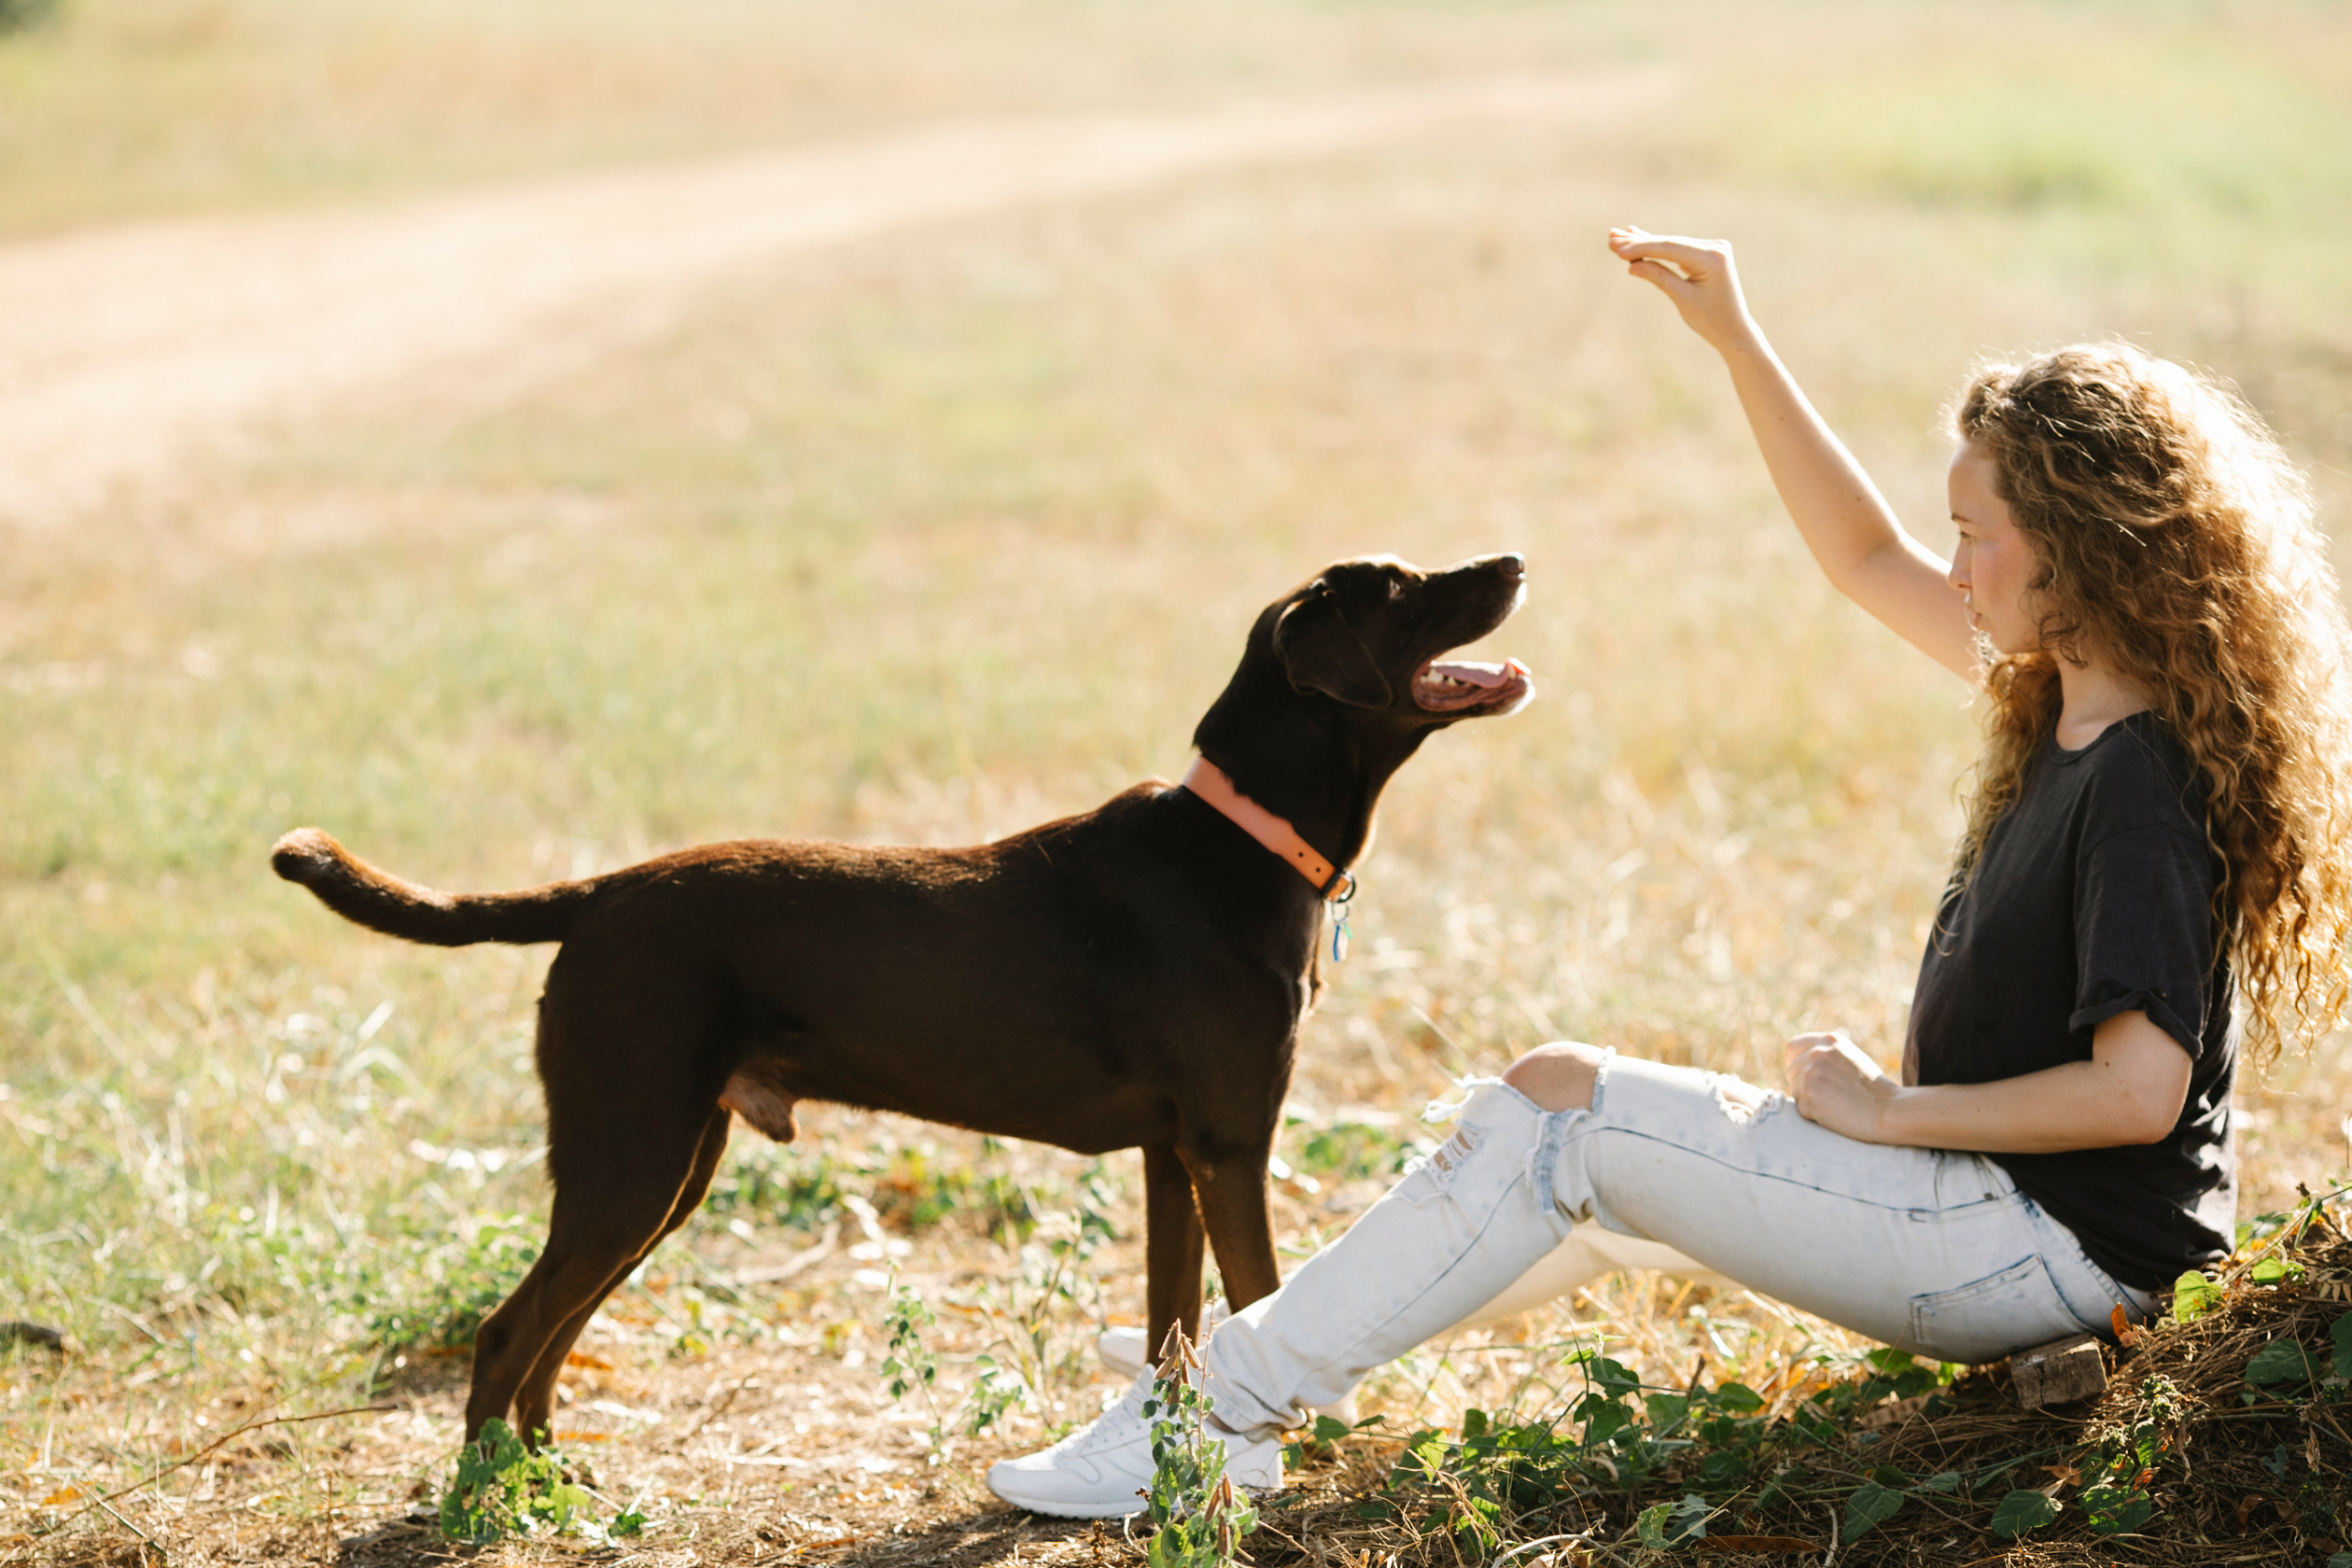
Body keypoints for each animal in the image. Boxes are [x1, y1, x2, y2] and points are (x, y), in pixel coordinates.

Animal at [274, 554, 1533, 1448]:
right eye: (1405, 588)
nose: (1516, 558)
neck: (1243, 838)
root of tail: (597, 897)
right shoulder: (1230, 1145)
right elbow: (1261, 1300)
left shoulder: (1169, 1155)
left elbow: (1174, 1330)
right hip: (628, 1159)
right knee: (506, 1336)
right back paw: (497, 1498)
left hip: (665, 1172)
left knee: (553, 1333)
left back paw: (546, 1466)